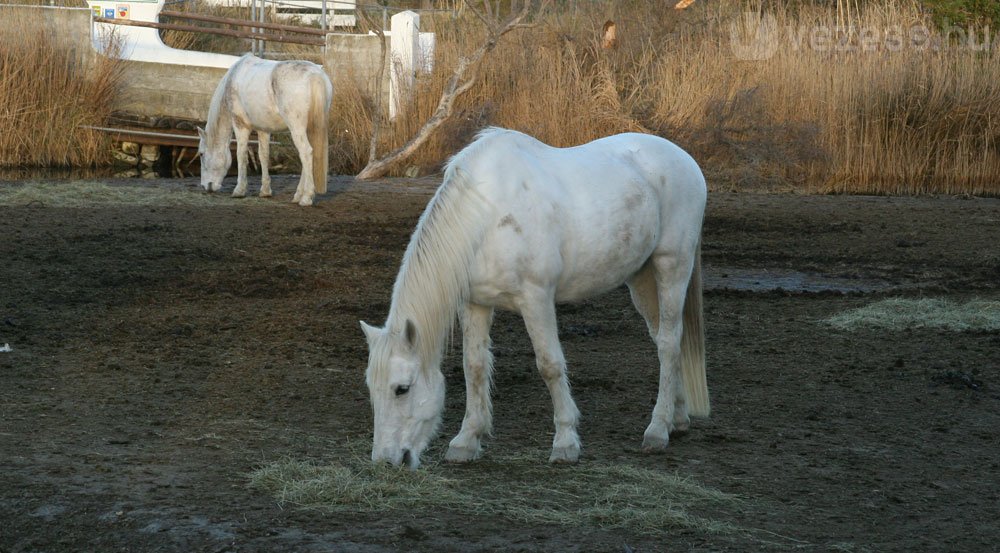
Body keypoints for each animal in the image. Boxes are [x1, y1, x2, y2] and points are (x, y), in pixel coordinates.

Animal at [197, 53, 334, 207]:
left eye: (201, 154)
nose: (206, 186)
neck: (234, 78)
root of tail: (315, 75)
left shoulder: (240, 126)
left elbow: (241, 155)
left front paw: (239, 190)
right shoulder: (264, 130)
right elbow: (263, 156)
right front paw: (265, 191)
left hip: (296, 128)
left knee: (306, 152)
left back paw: (306, 198)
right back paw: (298, 195)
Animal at [364, 127, 708, 468]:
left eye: (401, 389)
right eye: (371, 388)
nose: (385, 461)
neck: (486, 215)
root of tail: (685, 159)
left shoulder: (536, 299)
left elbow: (549, 365)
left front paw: (565, 442)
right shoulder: (476, 304)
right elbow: (474, 365)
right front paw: (466, 440)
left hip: (672, 265)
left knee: (668, 342)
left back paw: (657, 430)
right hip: (641, 277)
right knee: (664, 338)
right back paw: (677, 418)